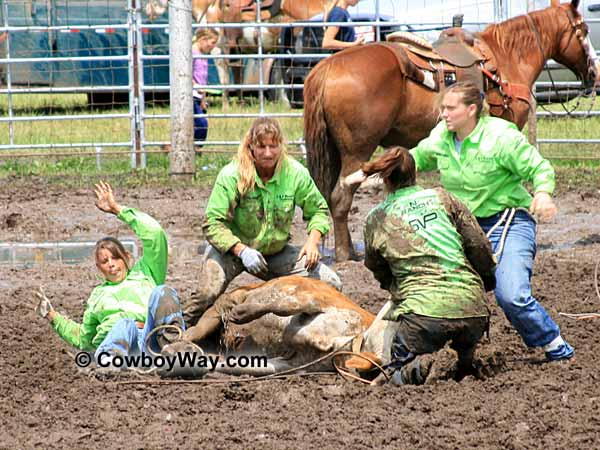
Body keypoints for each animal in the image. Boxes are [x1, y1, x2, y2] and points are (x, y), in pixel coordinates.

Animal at [308, 0, 596, 260]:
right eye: (583, 30)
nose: (594, 73)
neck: (506, 59)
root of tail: (327, 68)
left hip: (335, 151)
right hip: (357, 150)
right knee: (340, 197)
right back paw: (346, 254)